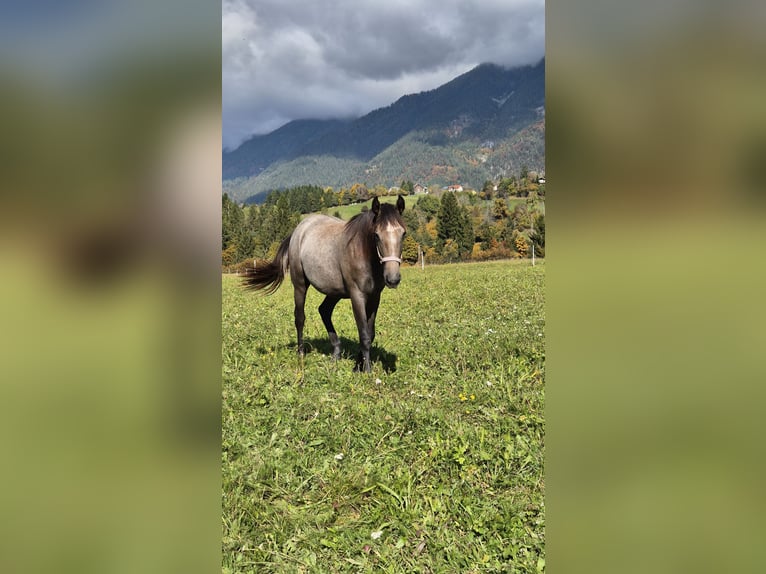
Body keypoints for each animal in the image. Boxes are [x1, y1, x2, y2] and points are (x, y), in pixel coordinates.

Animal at [243, 195, 407, 372]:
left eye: (403, 234)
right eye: (376, 235)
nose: (393, 279)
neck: (362, 252)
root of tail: (298, 231)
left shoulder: (375, 297)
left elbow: (370, 333)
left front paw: (358, 366)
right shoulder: (357, 296)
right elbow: (363, 334)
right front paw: (367, 371)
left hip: (334, 292)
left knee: (324, 311)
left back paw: (336, 353)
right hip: (300, 285)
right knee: (300, 317)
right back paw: (301, 354)